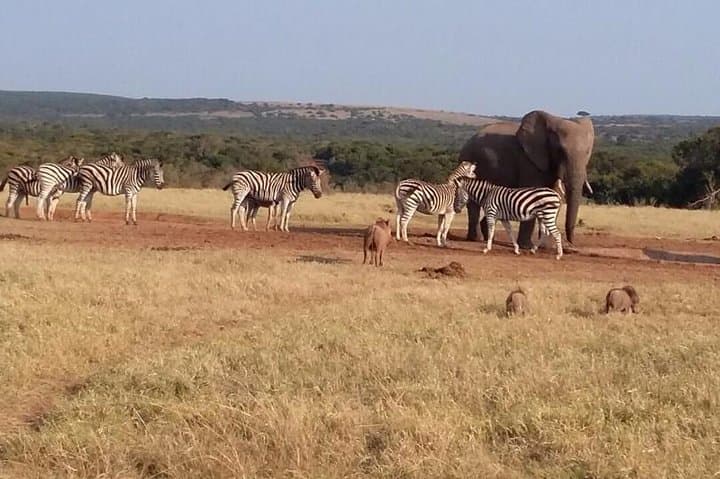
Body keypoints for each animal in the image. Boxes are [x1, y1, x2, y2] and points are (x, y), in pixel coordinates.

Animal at [457, 110, 594, 248]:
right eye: (560, 151)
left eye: (588, 153)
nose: (572, 243)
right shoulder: (529, 161)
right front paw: (527, 247)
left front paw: (545, 247)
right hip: (469, 160)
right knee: (473, 203)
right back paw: (476, 239)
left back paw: (489, 238)